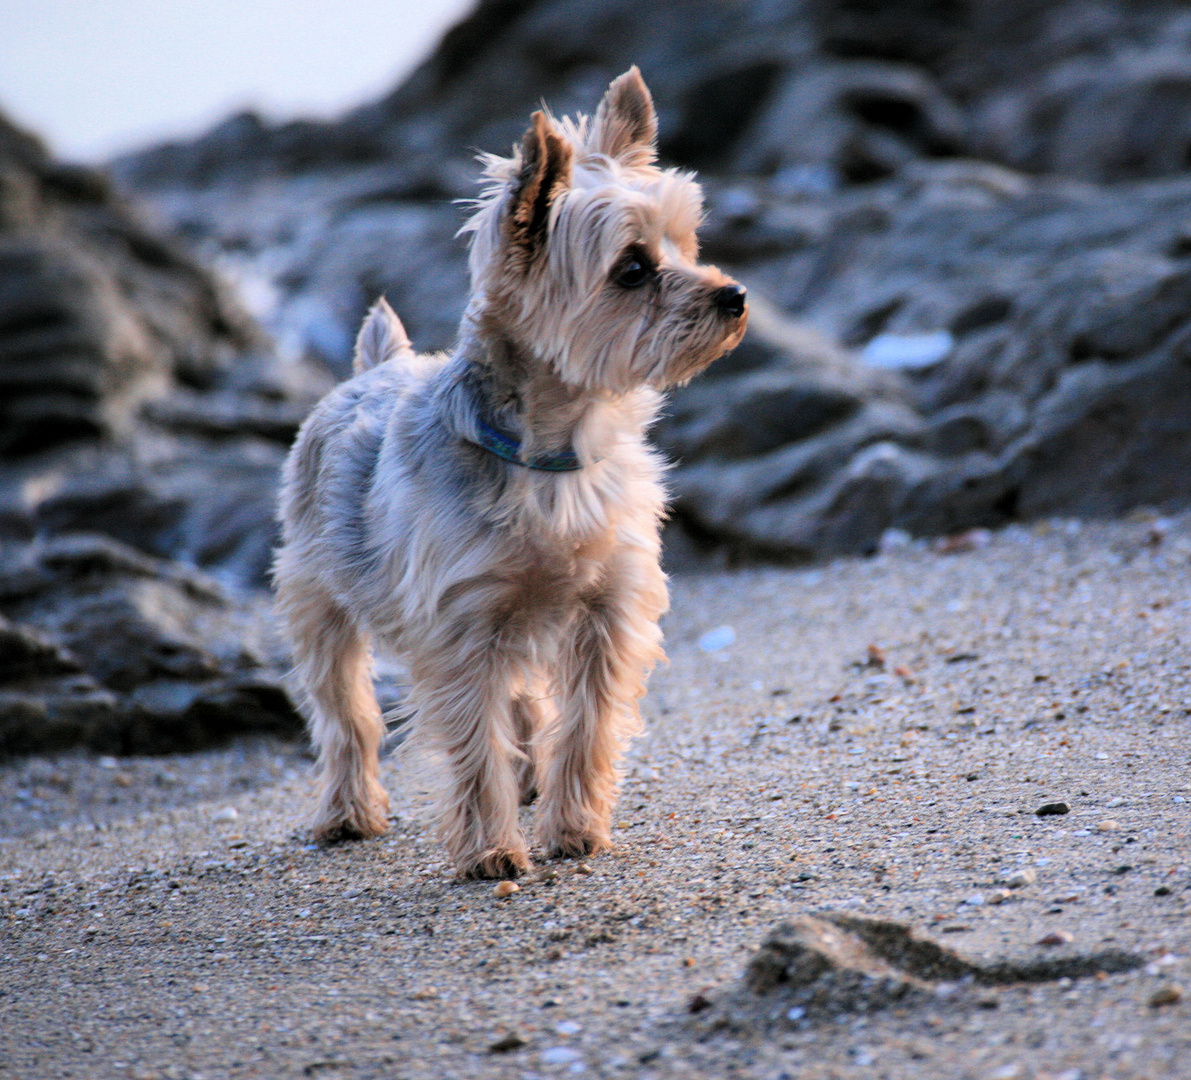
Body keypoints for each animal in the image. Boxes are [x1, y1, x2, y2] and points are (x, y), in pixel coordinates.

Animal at [273, 65, 747, 876]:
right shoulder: (462, 626)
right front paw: (491, 850)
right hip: (318, 594)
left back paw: (530, 782)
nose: (734, 295)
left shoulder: (607, 609)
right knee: (344, 712)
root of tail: (374, 367)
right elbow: (473, 741)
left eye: (686, 244)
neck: (553, 452)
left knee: (524, 697)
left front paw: (574, 825)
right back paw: (348, 811)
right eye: (633, 269)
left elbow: (585, 721)